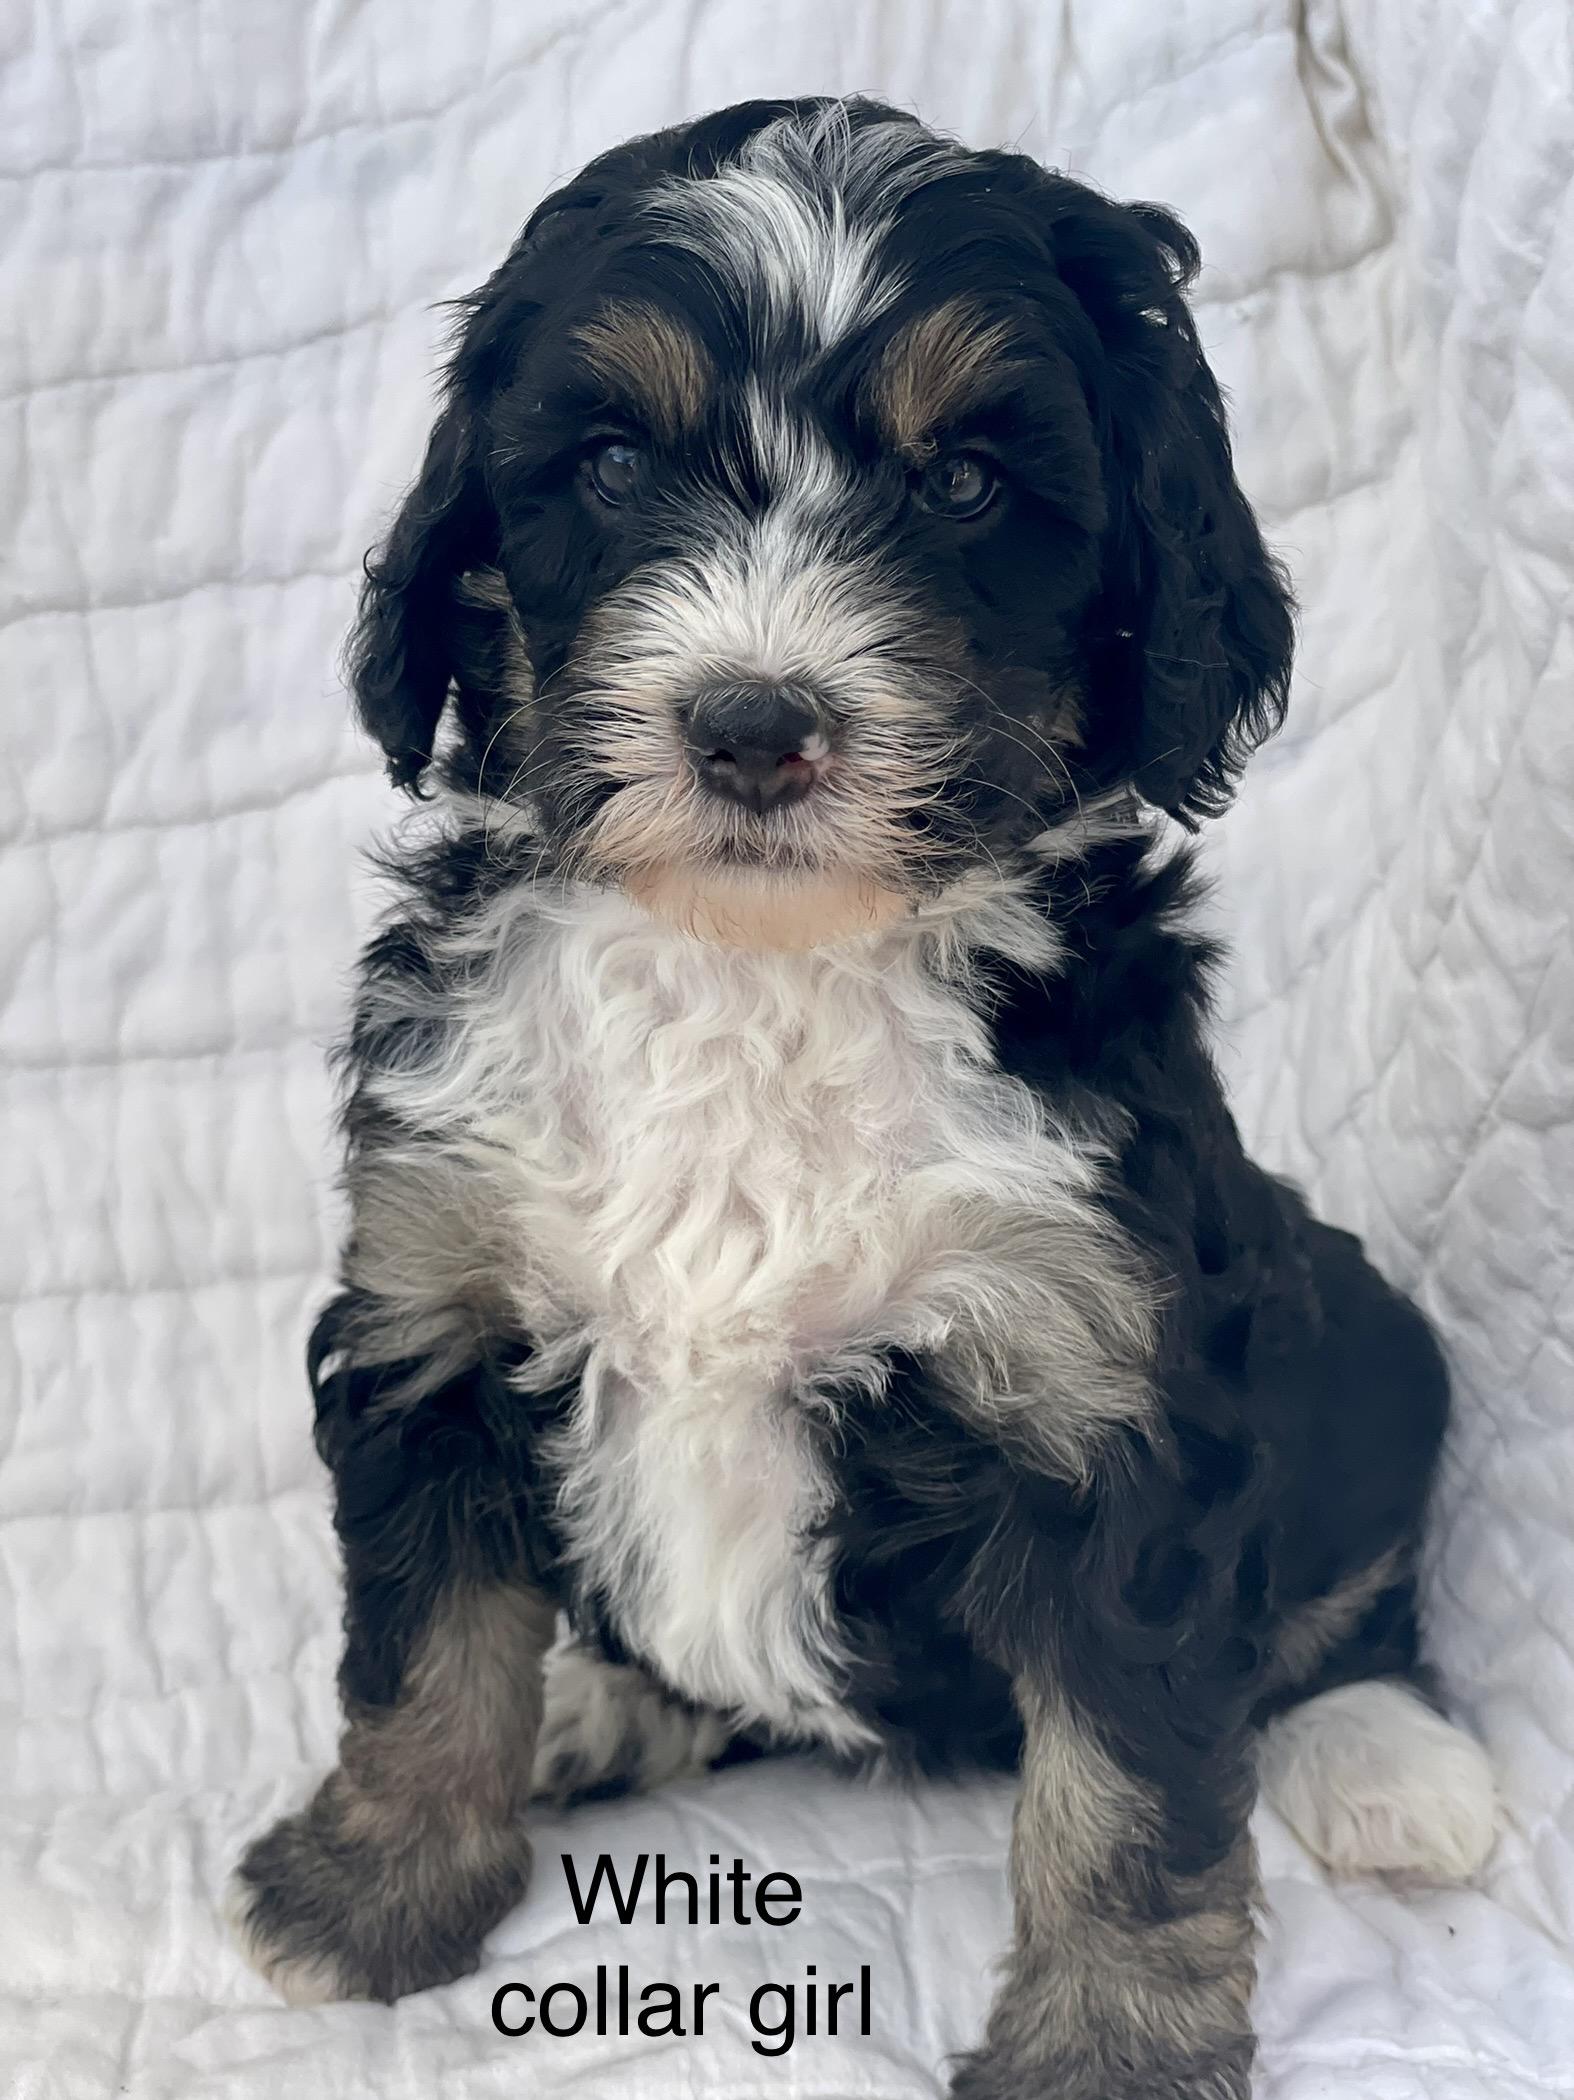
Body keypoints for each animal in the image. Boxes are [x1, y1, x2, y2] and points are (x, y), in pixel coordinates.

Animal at [229, 97, 1497, 2097]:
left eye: (965, 486)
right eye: (607, 463)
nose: (752, 725)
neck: (758, 960)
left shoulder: (1111, 1387)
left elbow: (1131, 1783)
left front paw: (1110, 2050)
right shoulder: (429, 1303)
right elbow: (423, 1645)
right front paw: (368, 1891)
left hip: (1360, 1328)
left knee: (1341, 1592)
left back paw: (1392, 1763)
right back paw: (594, 1707)